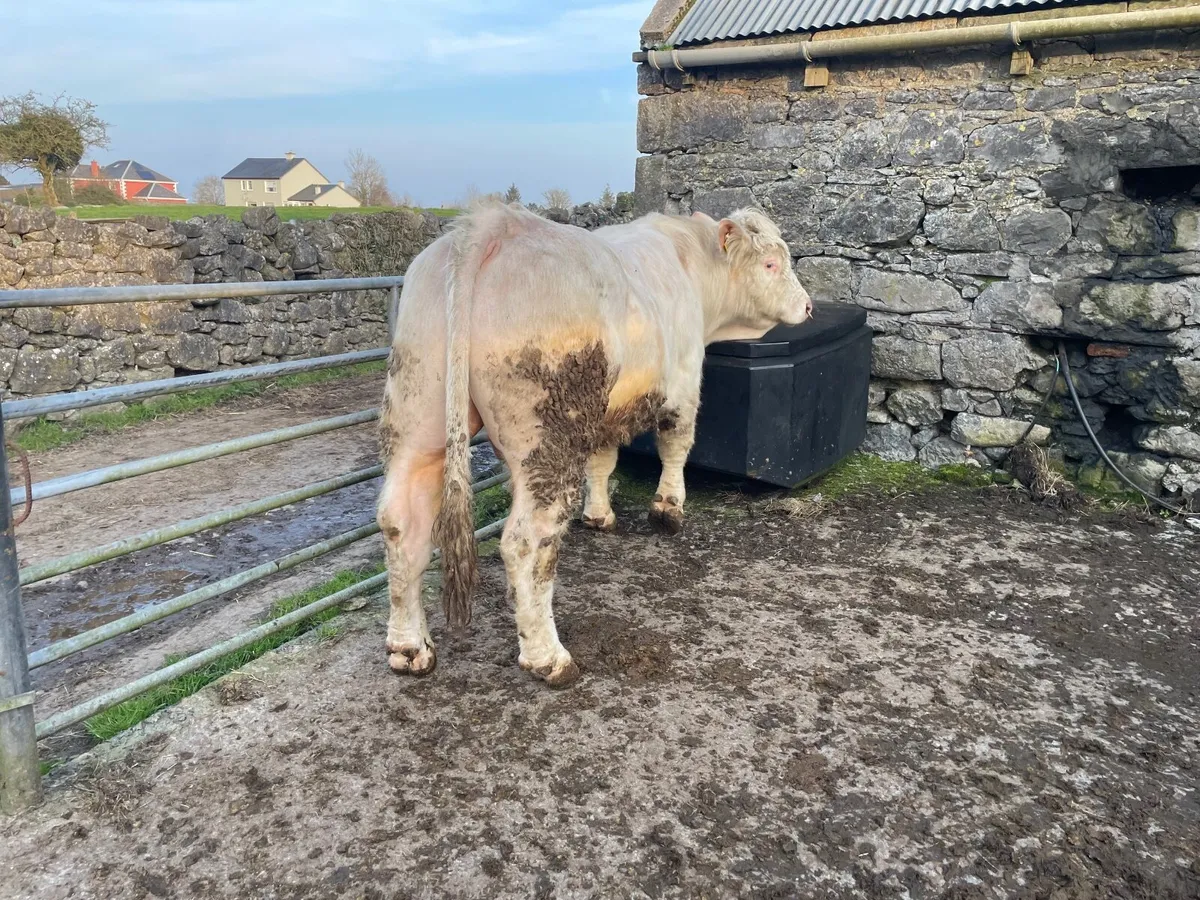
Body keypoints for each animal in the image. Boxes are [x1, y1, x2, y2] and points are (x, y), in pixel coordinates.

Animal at [376, 202, 811, 686]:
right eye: (771, 263)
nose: (808, 305)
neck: (691, 265)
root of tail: (492, 224)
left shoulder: (604, 415)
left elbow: (602, 463)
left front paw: (599, 515)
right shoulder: (681, 385)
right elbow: (675, 446)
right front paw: (668, 509)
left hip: (418, 407)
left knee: (401, 522)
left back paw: (410, 648)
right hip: (545, 435)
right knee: (527, 541)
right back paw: (549, 658)